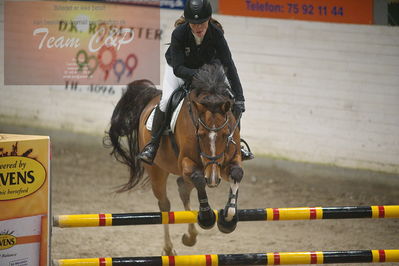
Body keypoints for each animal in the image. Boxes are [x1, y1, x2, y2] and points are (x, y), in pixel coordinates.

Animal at [106, 61, 244, 255]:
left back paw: (190, 237)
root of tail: (153, 96)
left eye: (225, 134)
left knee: (183, 187)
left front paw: (228, 219)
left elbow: (237, 174)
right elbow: (199, 179)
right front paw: (207, 217)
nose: (213, 179)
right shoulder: (188, 163)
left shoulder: (225, 162)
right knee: (165, 205)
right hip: (157, 170)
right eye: (200, 135)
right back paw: (169, 249)